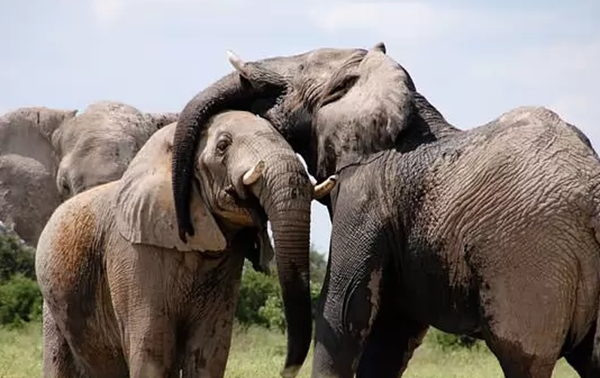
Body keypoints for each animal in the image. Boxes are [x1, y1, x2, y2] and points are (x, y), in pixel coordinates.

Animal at [36, 110, 338, 376]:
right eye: (223, 146)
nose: (285, 371)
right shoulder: (133, 253)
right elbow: (152, 352)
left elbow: (209, 352)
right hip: (52, 304)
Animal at [169, 42, 600, 378]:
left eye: (302, 66)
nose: (186, 228)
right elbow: (391, 333)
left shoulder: (365, 192)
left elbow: (343, 312)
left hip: (527, 259)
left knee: (523, 359)